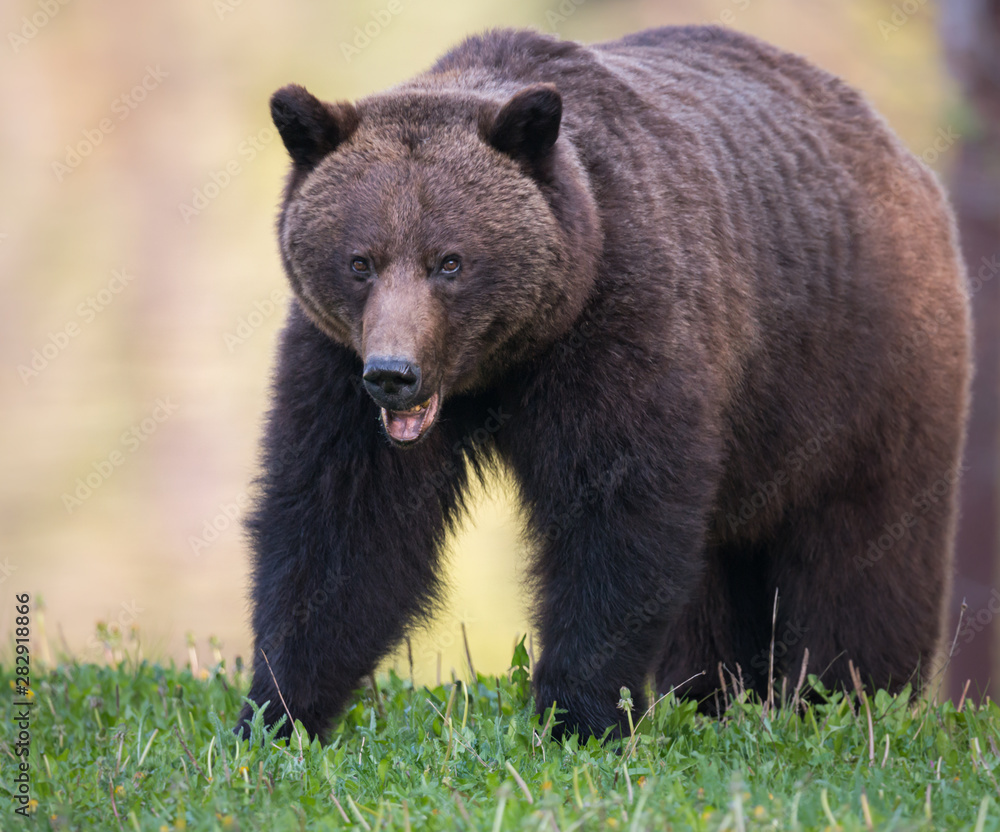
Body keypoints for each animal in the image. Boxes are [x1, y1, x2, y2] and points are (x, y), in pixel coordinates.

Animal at [234, 26, 968, 740]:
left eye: (450, 261)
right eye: (360, 261)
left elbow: (615, 512)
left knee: (862, 550)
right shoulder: (336, 363)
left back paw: (844, 698)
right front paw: (277, 711)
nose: (394, 375)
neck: (505, 361)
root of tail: (897, 152)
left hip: (858, 374)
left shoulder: (619, 323)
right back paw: (714, 695)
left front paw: (580, 713)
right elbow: (342, 524)